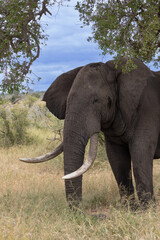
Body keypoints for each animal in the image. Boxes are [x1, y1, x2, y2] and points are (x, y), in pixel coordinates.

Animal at [20, 57, 160, 208]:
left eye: (96, 101)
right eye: (67, 102)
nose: (80, 210)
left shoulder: (146, 109)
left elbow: (140, 152)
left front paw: (147, 209)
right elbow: (116, 158)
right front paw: (128, 208)